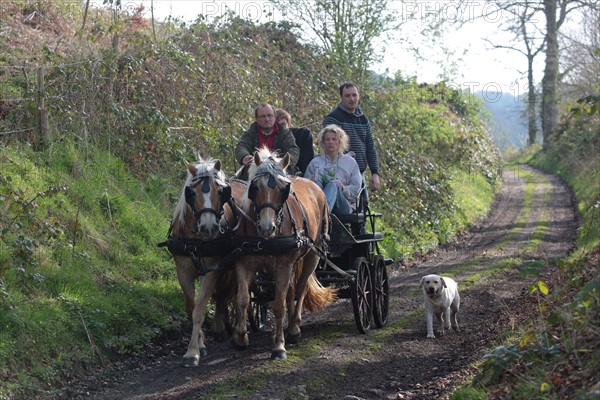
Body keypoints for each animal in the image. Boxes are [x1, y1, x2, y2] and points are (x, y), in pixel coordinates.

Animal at [166, 158, 244, 368]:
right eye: (192, 193)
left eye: (220, 191)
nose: (209, 228)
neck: (197, 240)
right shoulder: (183, 272)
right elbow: (191, 307)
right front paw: (199, 345)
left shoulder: (212, 270)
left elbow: (200, 310)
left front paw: (192, 353)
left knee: (230, 294)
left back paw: (225, 327)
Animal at [231, 147, 336, 360]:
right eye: (255, 187)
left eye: (283, 189)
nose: (267, 227)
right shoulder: (244, 264)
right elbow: (243, 299)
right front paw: (240, 337)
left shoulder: (283, 266)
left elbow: (279, 306)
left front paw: (279, 346)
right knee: (291, 291)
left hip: (312, 255)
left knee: (300, 289)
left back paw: (294, 329)